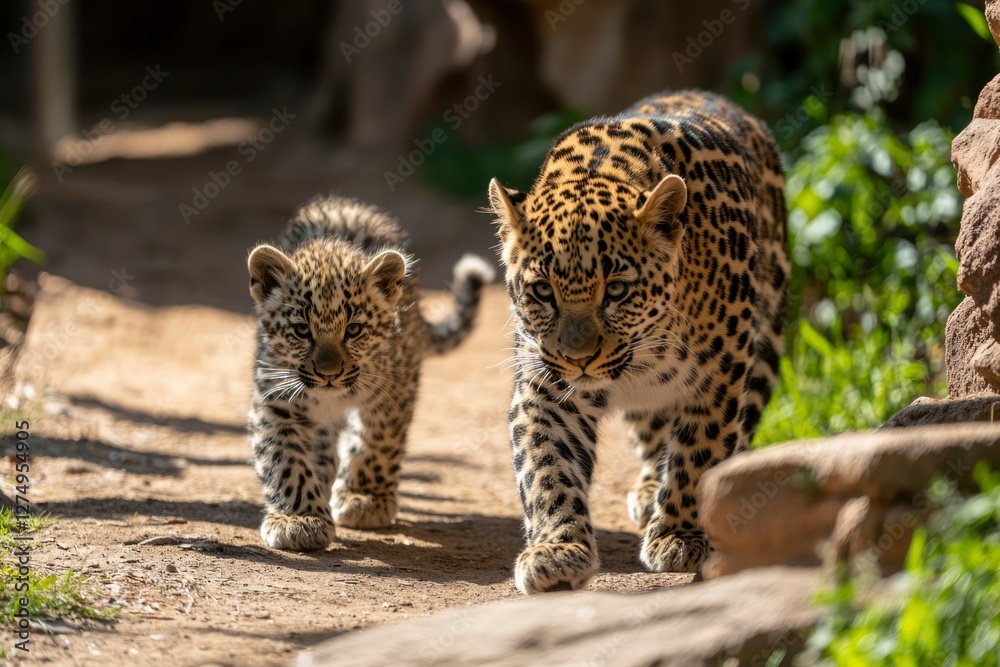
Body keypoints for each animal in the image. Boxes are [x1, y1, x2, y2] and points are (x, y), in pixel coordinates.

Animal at [247, 195, 494, 551]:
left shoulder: (393, 391)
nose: (329, 374)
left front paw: (365, 499)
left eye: (354, 330)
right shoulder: (276, 398)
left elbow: (377, 442)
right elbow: (285, 458)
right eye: (301, 330)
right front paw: (299, 519)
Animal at [488, 90, 788, 594]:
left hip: (765, 344)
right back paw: (650, 490)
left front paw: (680, 535)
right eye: (543, 290)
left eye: (616, 290)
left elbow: (701, 449)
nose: (579, 358)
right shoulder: (546, 385)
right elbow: (547, 465)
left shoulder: (720, 372)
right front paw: (556, 550)